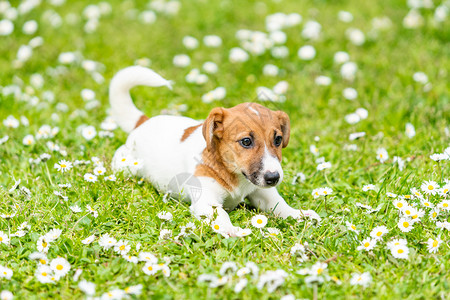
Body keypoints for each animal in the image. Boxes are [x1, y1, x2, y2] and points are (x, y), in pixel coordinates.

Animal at [109, 65, 320, 237]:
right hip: (126, 166)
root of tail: (142, 122)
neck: (236, 176)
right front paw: (230, 229)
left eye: (277, 139)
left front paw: (299, 214)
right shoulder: (207, 200)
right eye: (246, 141)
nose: (273, 178)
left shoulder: (261, 191)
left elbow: (279, 204)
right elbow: (222, 215)